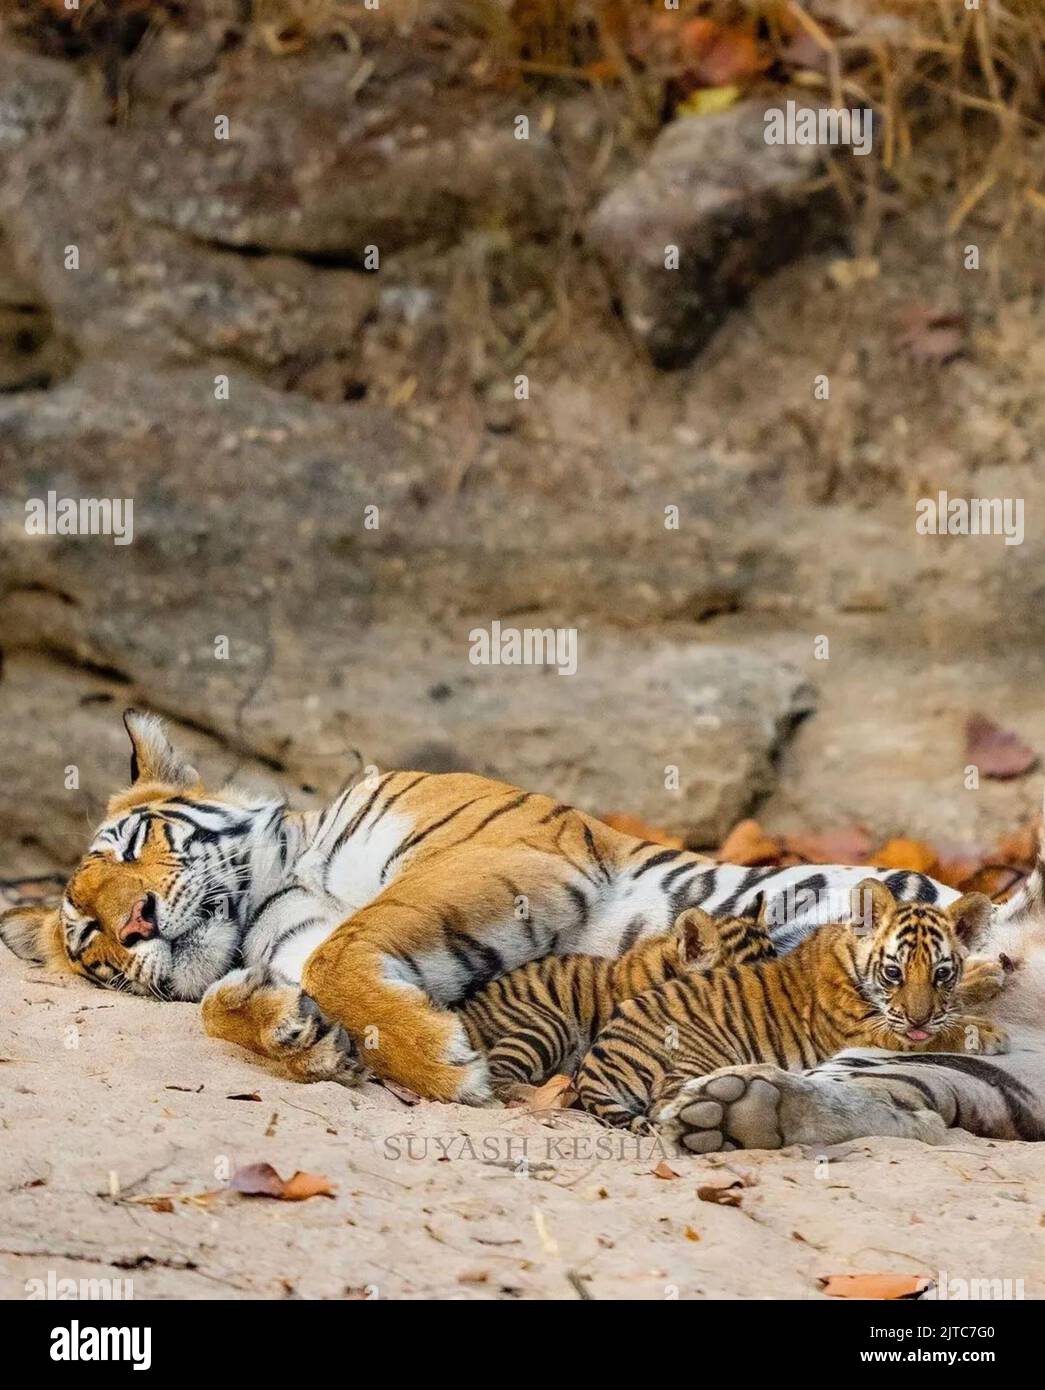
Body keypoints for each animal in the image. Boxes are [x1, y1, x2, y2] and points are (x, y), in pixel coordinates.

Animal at [566, 884, 1006, 1134]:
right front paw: (985, 1032)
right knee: (669, 1103)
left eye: (941, 973)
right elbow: (931, 1034)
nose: (919, 1016)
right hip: (703, 1050)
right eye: (893, 972)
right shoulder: (871, 1028)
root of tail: (595, 1062)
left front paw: (985, 974)